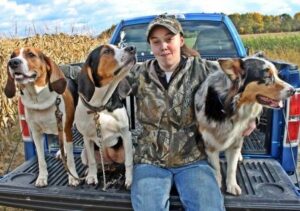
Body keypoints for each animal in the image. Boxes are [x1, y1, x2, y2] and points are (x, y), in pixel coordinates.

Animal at [4, 47, 79, 186]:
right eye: (12, 55)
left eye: (31, 54)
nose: (13, 62)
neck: (38, 99)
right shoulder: (37, 134)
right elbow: (40, 159)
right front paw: (42, 177)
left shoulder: (66, 129)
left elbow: (71, 159)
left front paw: (73, 177)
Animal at [75, 44, 136, 188]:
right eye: (107, 51)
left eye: (119, 47)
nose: (132, 48)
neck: (100, 107)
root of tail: (109, 165)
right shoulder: (87, 138)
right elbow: (92, 161)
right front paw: (92, 177)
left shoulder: (126, 134)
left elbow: (128, 163)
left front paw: (129, 180)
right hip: (84, 153)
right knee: (93, 163)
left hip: (131, 148)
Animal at [195, 55, 296, 195]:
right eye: (267, 76)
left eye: (277, 74)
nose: (293, 91)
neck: (231, 107)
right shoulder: (210, 143)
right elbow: (216, 167)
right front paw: (218, 181)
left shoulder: (236, 139)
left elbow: (232, 167)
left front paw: (232, 185)